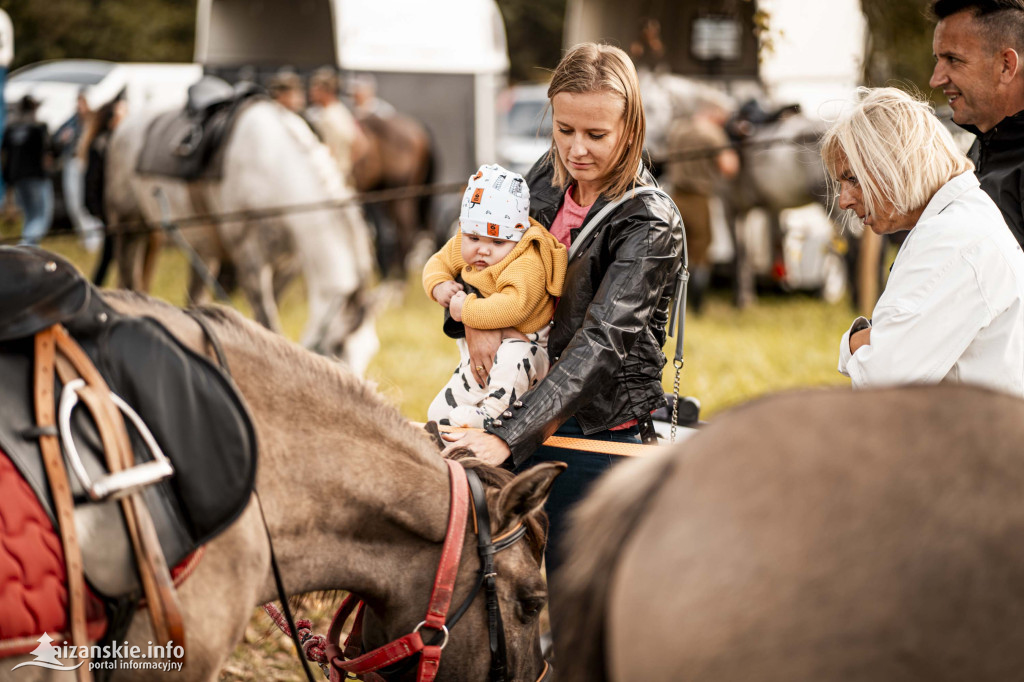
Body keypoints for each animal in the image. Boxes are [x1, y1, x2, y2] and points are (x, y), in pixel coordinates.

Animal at [103, 96, 380, 372]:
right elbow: (267, 321)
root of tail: (125, 125)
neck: (274, 173)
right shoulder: (250, 262)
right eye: (338, 346)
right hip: (129, 227)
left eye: (370, 351)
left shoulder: (288, 264)